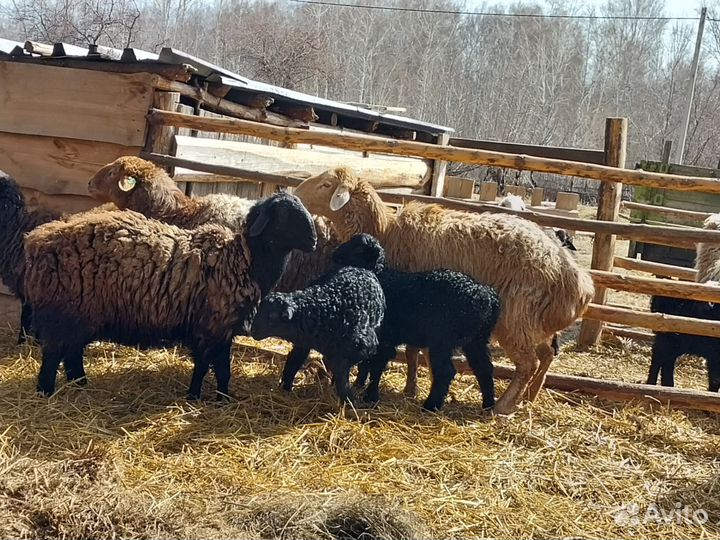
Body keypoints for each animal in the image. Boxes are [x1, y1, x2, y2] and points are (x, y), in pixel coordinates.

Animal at [24, 192, 317, 398]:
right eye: (285, 214)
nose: (314, 241)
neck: (244, 260)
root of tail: (38, 241)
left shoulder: (218, 330)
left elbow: (217, 368)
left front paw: (216, 398)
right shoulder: (213, 326)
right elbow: (210, 367)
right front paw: (201, 397)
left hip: (82, 316)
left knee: (72, 354)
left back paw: (81, 384)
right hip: (65, 314)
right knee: (53, 355)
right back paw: (46, 392)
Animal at [250, 265, 385, 405]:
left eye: (271, 317)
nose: (252, 331)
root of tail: (359, 268)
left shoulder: (360, 349)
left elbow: (342, 374)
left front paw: (349, 401)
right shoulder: (302, 343)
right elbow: (294, 361)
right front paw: (285, 387)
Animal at [332, 233, 501, 411]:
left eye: (357, 247)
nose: (335, 254)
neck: (382, 277)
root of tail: (486, 295)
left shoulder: (385, 339)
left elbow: (376, 366)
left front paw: (370, 397)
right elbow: (366, 363)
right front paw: (359, 385)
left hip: (442, 339)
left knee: (446, 371)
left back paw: (431, 405)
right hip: (477, 339)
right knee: (484, 368)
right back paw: (488, 405)